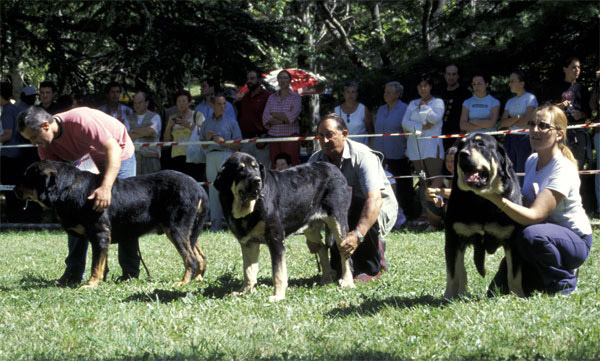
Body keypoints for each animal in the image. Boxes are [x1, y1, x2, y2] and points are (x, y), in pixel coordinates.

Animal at [15, 160, 207, 286]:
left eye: (26, 177)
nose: (15, 189)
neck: (67, 189)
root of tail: (199, 188)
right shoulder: (101, 238)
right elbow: (102, 263)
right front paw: (101, 281)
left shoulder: (99, 234)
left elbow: (95, 264)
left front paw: (91, 284)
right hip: (189, 231)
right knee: (200, 257)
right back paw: (197, 279)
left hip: (175, 229)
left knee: (190, 258)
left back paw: (183, 282)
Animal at [213, 150, 354, 300]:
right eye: (240, 169)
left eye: (255, 168)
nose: (257, 180)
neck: (248, 209)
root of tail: (335, 168)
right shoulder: (248, 243)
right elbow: (248, 271)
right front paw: (244, 292)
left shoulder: (276, 239)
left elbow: (278, 271)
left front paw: (278, 296)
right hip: (312, 230)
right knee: (322, 248)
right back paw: (326, 279)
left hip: (338, 222)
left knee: (344, 253)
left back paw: (347, 282)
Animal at [442, 134, 528, 296]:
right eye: (461, 146)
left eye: (480, 144)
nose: (463, 154)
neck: (481, 202)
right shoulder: (453, 239)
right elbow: (453, 274)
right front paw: (449, 295)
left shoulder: (512, 241)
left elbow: (514, 275)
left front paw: (517, 295)